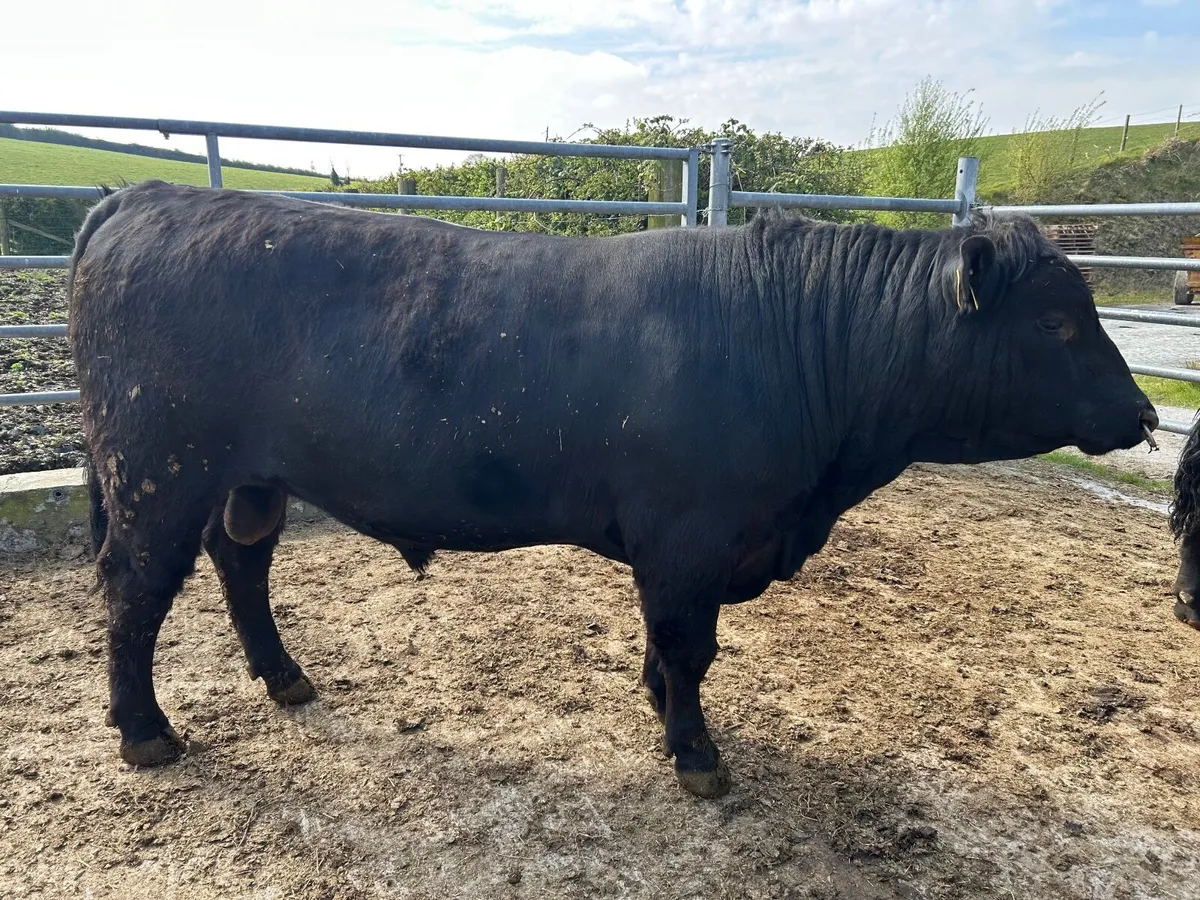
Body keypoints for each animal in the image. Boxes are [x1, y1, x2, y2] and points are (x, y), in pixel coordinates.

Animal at [69, 180, 1156, 798]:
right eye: (1058, 323)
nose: (1146, 412)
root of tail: (146, 197)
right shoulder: (690, 534)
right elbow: (690, 643)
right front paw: (696, 754)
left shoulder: (687, 545)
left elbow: (670, 642)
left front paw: (658, 704)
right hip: (158, 469)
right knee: (136, 589)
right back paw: (146, 733)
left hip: (244, 478)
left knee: (239, 561)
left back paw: (285, 676)